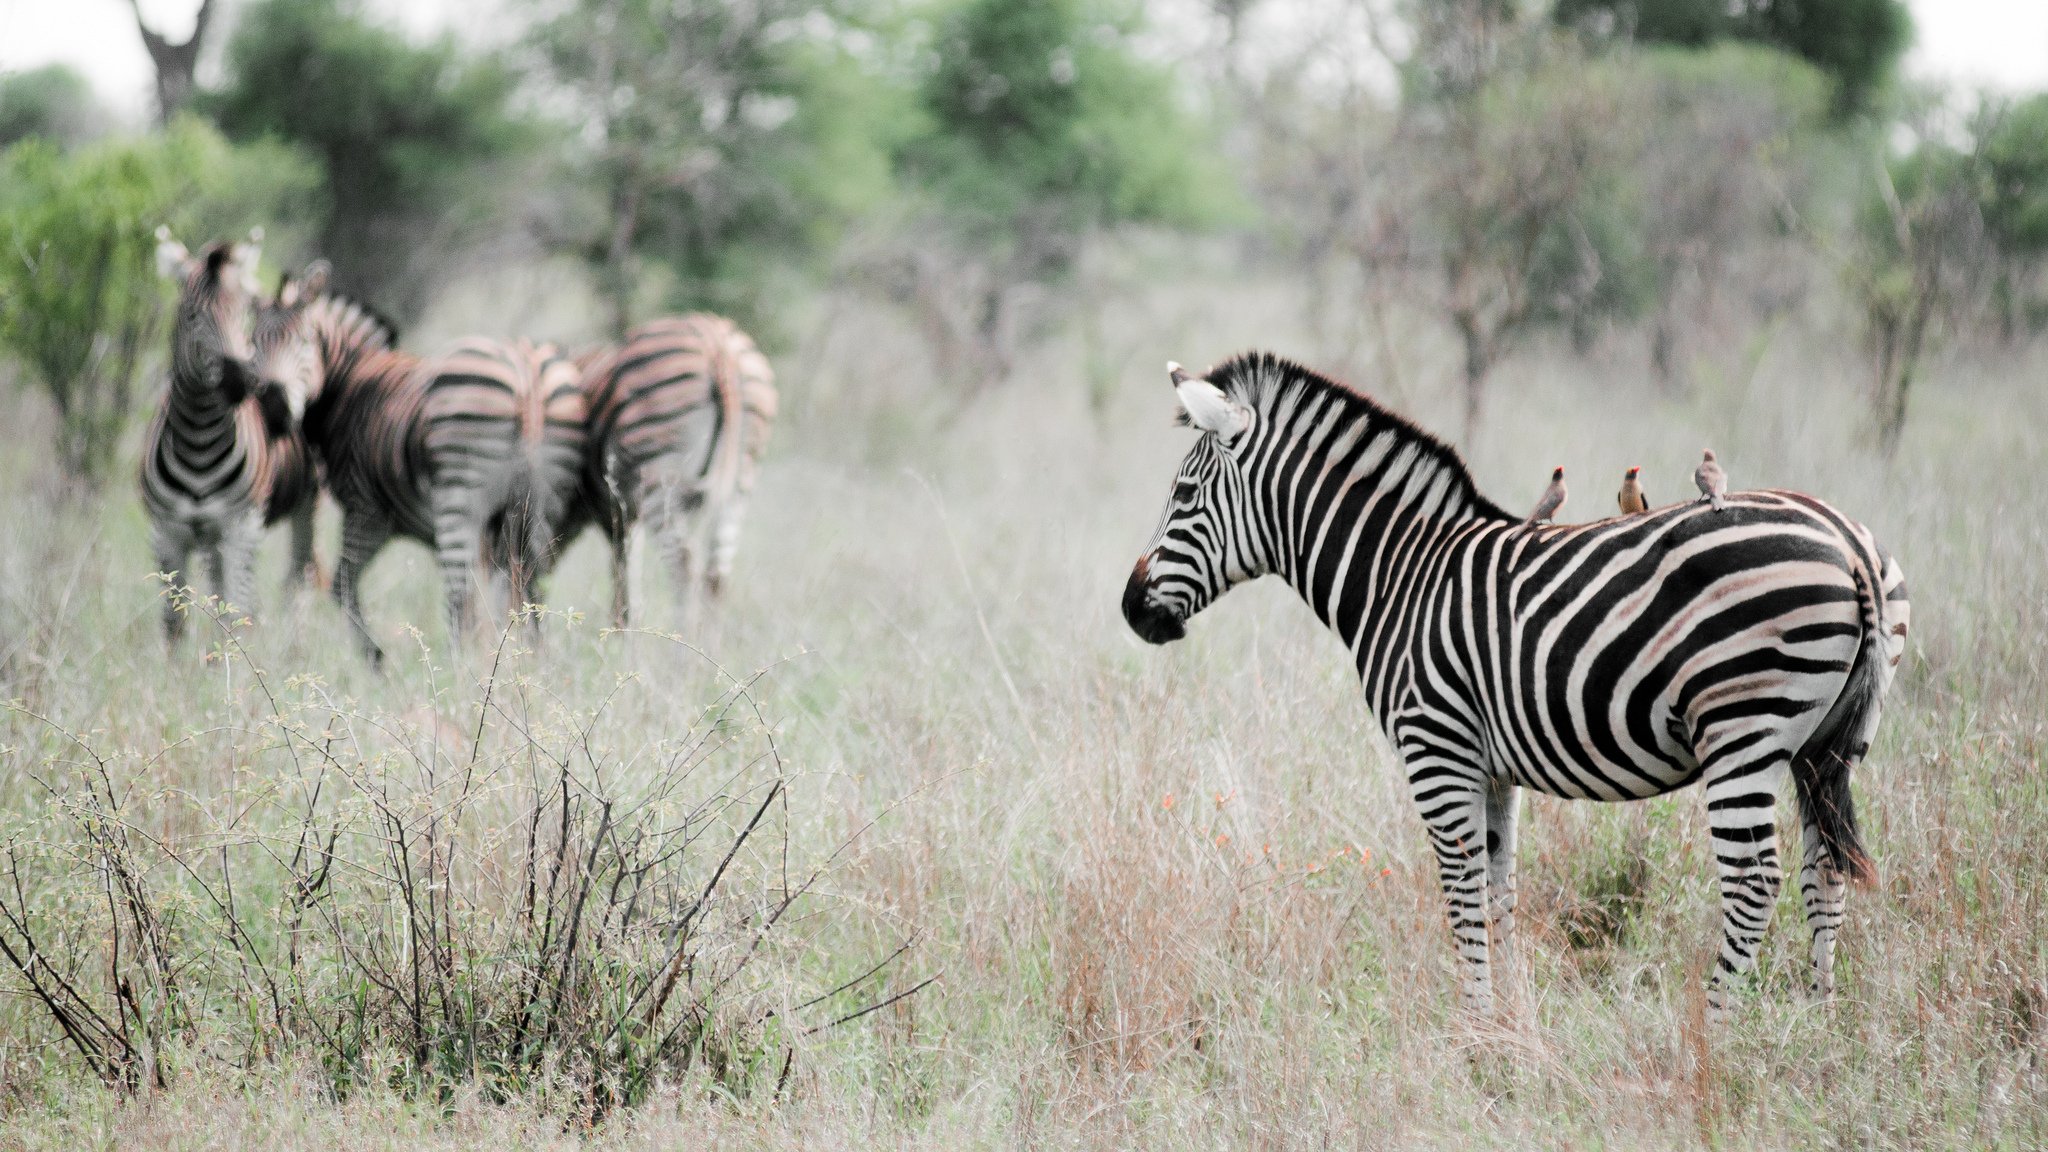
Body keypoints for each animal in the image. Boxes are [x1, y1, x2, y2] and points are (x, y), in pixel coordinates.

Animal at [142, 228, 319, 639]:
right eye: (192, 316)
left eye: (243, 315)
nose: (239, 383)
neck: (197, 440)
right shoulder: (166, 532)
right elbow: (174, 621)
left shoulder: (241, 527)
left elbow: (240, 612)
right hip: (210, 540)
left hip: (303, 505)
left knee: (299, 580)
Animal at [250, 261, 585, 664]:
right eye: (253, 344)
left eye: (302, 341)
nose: (273, 405)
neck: (349, 384)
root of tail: (527, 370)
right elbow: (502, 595)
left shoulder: (367, 512)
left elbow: (341, 584)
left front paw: (376, 659)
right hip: (544, 501)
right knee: (533, 585)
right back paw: (537, 664)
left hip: (458, 494)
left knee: (460, 599)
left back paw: (458, 669)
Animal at [569, 311, 774, 627]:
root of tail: (718, 347)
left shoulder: (615, 512)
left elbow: (622, 583)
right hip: (739, 481)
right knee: (715, 576)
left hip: (659, 478)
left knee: (684, 568)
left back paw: (682, 642)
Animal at [1122, 352, 1900, 1012]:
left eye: (1184, 493)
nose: (1131, 609)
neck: (1400, 575)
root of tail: (1850, 547)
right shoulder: (1493, 769)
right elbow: (1501, 892)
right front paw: (1506, 1028)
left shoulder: (1436, 748)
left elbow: (1462, 893)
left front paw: (1472, 1032)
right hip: (1832, 742)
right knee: (1825, 870)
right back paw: (1818, 1021)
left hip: (1743, 728)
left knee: (1754, 883)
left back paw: (1713, 1034)